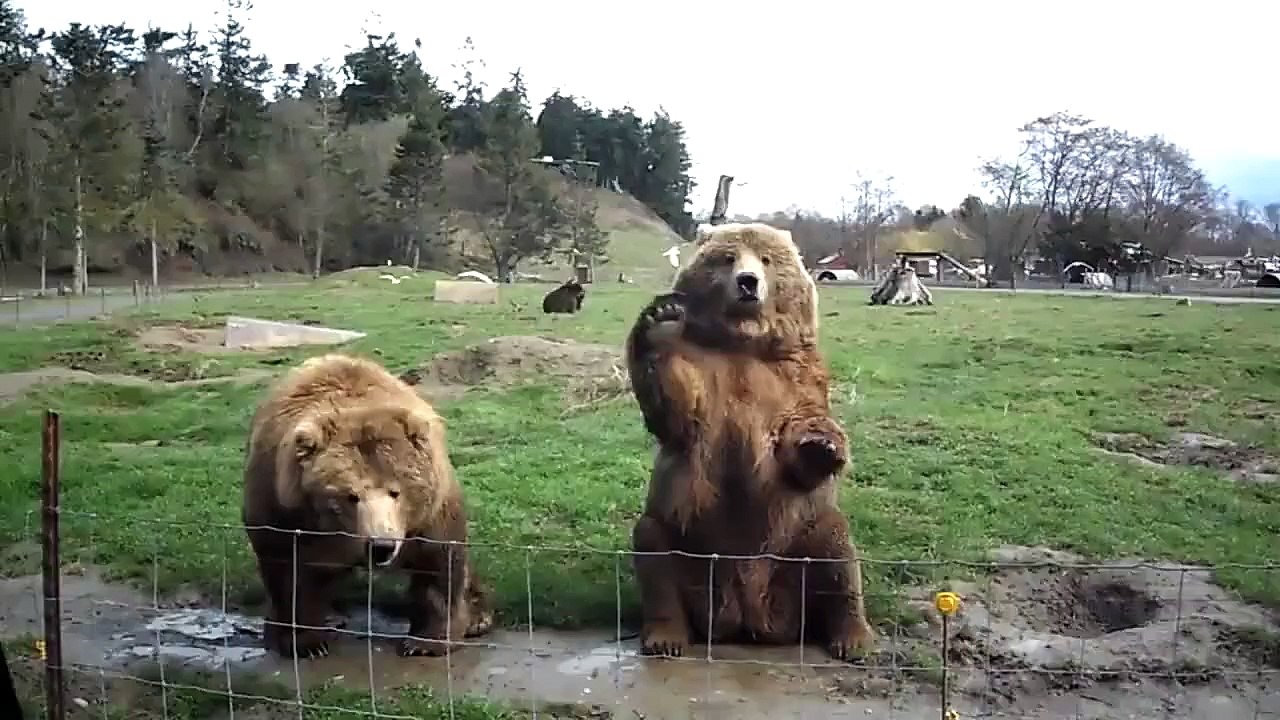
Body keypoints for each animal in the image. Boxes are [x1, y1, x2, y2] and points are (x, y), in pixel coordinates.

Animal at [241, 353, 492, 659]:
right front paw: (306, 643)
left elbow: (437, 561)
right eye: (350, 495)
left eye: (396, 491)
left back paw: (479, 618)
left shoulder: (429, 513)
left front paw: (426, 641)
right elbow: (290, 574)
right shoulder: (284, 511)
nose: (381, 546)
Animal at [624, 221, 875, 661]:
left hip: (798, 542)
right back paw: (666, 636)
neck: (744, 343)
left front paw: (821, 446)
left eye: (766, 259)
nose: (747, 282)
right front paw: (656, 321)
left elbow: (800, 427)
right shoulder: (703, 371)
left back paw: (853, 639)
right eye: (728, 257)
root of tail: (748, 618)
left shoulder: (793, 373)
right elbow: (675, 413)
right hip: (688, 541)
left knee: (838, 555)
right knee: (655, 553)